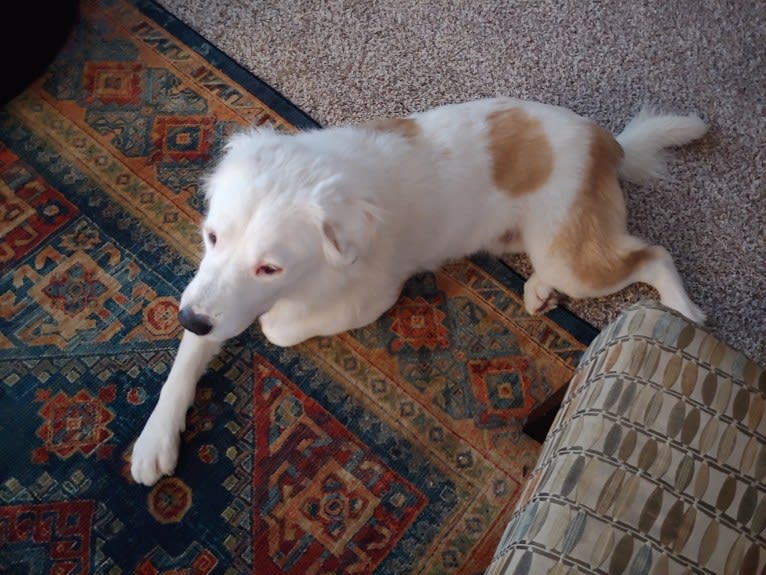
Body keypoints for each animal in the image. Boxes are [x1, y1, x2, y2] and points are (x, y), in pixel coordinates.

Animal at [130, 98, 708, 486]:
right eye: (211, 236)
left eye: (270, 267)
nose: (190, 318)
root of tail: (605, 140)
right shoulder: (207, 290)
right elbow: (187, 359)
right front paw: (155, 438)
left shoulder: (374, 294)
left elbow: (279, 328)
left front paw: (273, 321)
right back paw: (539, 292)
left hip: (570, 258)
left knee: (654, 256)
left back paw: (685, 312)